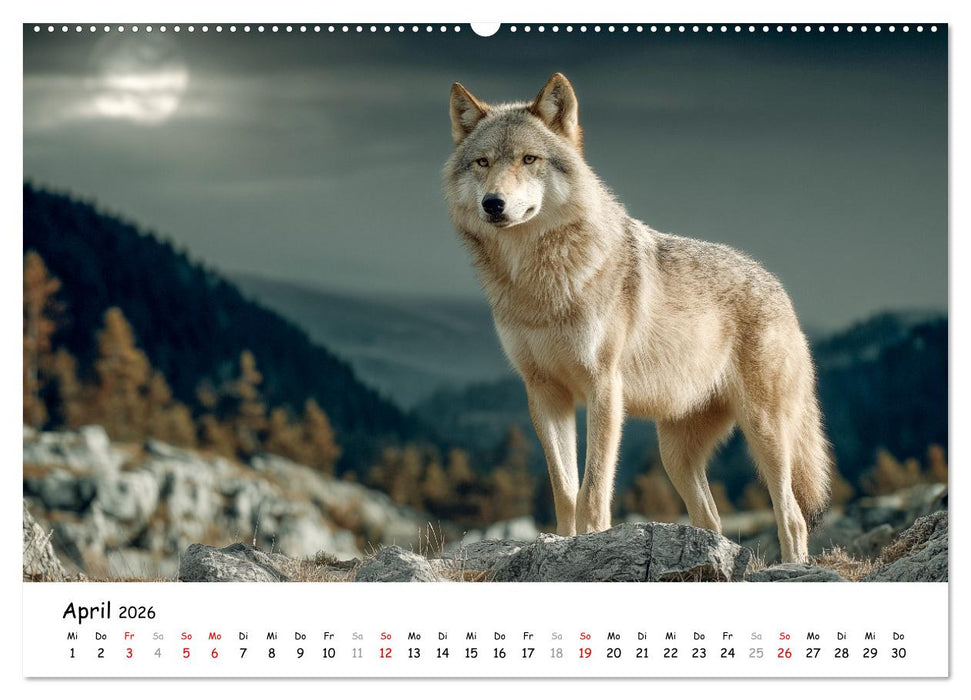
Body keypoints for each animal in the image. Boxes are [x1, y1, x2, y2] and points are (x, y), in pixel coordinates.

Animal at [443, 73, 832, 563]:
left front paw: (590, 541)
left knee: (793, 516)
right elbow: (564, 489)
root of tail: (779, 288)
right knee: (711, 519)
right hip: (674, 454)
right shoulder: (544, 393)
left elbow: (592, 490)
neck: (539, 285)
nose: (493, 204)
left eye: (529, 159)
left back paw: (792, 566)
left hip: (766, 435)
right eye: (482, 162)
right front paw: (561, 543)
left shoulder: (604, 388)